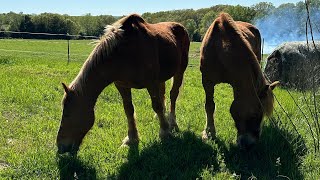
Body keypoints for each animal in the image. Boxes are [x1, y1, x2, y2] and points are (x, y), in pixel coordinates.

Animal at [57, 14, 190, 155]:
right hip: (161, 78)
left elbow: (157, 106)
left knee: (173, 95)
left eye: (67, 114)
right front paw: (131, 139)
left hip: (180, 71)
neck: (124, 54)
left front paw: (164, 133)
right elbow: (128, 110)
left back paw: (172, 123)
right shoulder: (122, 86)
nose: (60, 147)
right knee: (163, 94)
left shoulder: (151, 83)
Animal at [200, 13, 278, 149]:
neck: (220, 47)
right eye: (255, 114)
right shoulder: (207, 81)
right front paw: (209, 133)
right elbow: (209, 106)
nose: (250, 145)